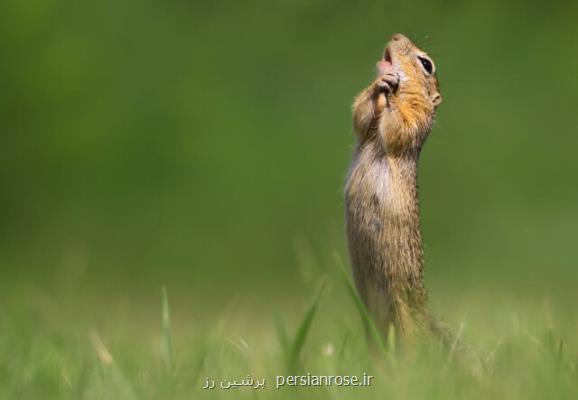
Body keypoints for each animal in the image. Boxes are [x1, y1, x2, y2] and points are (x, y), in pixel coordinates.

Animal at [342, 32, 440, 344]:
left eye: (426, 64)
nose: (396, 35)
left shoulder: (417, 119)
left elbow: (399, 127)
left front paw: (391, 89)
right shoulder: (364, 125)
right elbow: (360, 116)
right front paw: (379, 87)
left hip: (404, 315)